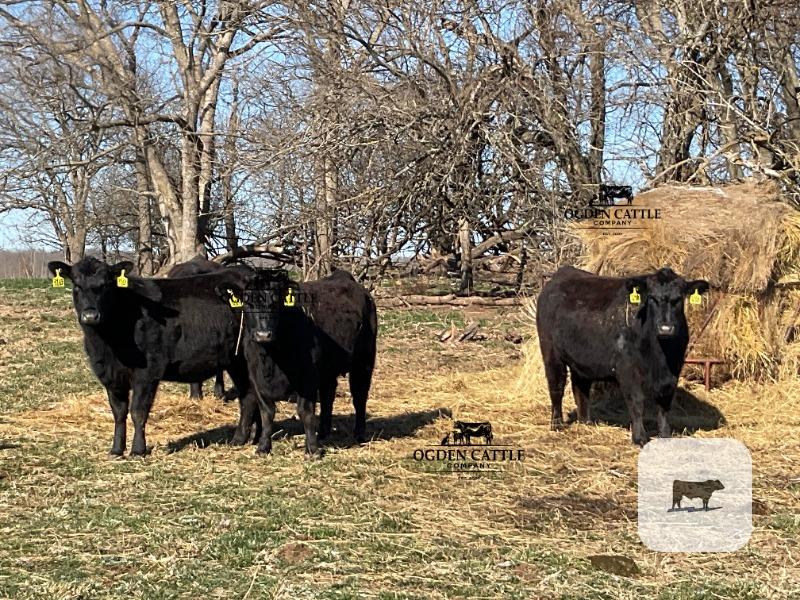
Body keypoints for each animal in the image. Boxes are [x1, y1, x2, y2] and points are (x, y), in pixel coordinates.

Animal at [226, 267, 377, 459]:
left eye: (277, 303)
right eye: (247, 304)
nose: (263, 334)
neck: (272, 358)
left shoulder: (307, 378)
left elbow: (305, 412)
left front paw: (312, 449)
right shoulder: (255, 377)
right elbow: (267, 412)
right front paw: (263, 447)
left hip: (364, 361)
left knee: (359, 396)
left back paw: (359, 434)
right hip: (327, 370)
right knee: (328, 395)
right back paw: (323, 432)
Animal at [536, 266, 709, 446]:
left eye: (679, 298)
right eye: (652, 298)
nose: (665, 328)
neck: (660, 355)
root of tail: (562, 273)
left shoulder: (673, 370)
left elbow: (664, 403)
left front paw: (665, 434)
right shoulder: (627, 369)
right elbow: (637, 401)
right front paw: (639, 437)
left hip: (581, 359)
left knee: (580, 387)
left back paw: (586, 422)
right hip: (551, 353)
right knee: (556, 387)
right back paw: (557, 424)